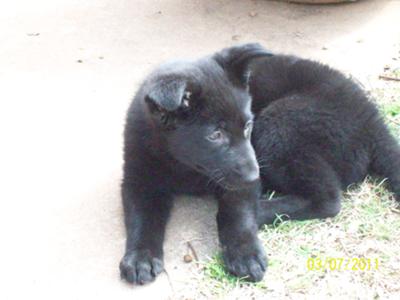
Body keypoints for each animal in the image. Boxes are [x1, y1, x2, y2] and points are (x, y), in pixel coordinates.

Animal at [119, 43, 400, 284]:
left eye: (247, 126)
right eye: (215, 135)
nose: (256, 176)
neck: (182, 163)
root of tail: (373, 123)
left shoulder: (241, 176)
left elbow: (237, 211)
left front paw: (244, 253)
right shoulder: (139, 177)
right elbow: (141, 219)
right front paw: (140, 257)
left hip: (280, 122)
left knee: (328, 199)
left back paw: (261, 208)